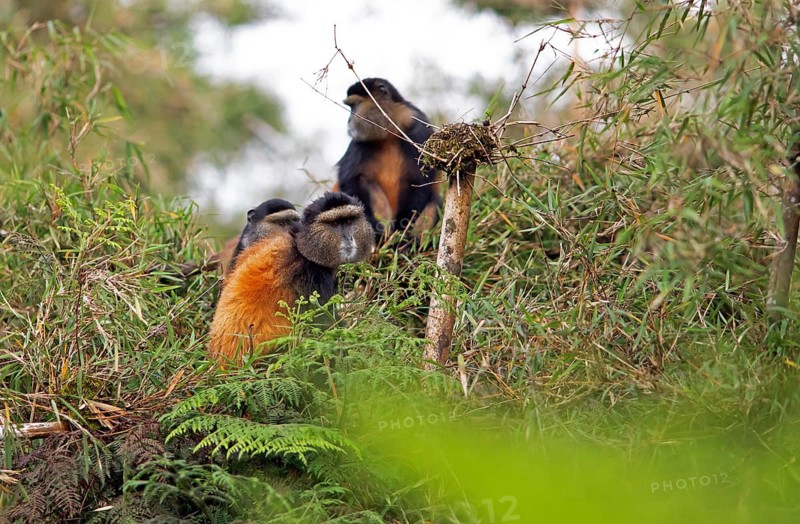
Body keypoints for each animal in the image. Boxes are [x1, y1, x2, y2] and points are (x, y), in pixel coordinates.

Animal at [208, 192, 374, 364]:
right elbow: (325, 325)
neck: (302, 246)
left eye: (349, 221)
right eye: (334, 224)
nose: (348, 238)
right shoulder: (313, 276)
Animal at [334, 78, 441, 240]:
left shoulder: (417, 129)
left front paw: (403, 233)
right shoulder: (360, 141)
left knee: (435, 200)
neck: (390, 131)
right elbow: (349, 180)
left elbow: (420, 182)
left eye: (354, 106)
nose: (349, 121)